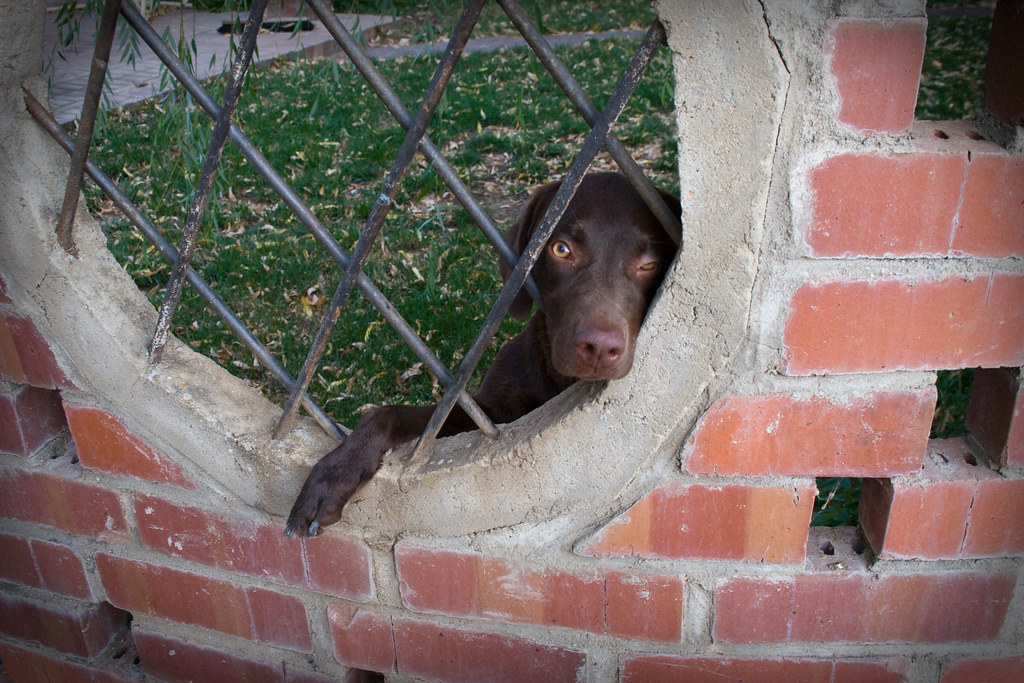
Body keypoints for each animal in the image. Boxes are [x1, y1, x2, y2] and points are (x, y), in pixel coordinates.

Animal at [284, 174, 679, 536]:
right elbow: (387, 414)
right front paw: (334, 476)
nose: (598, 348)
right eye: (561, 249)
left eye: (649, 264)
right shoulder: (484, 413)